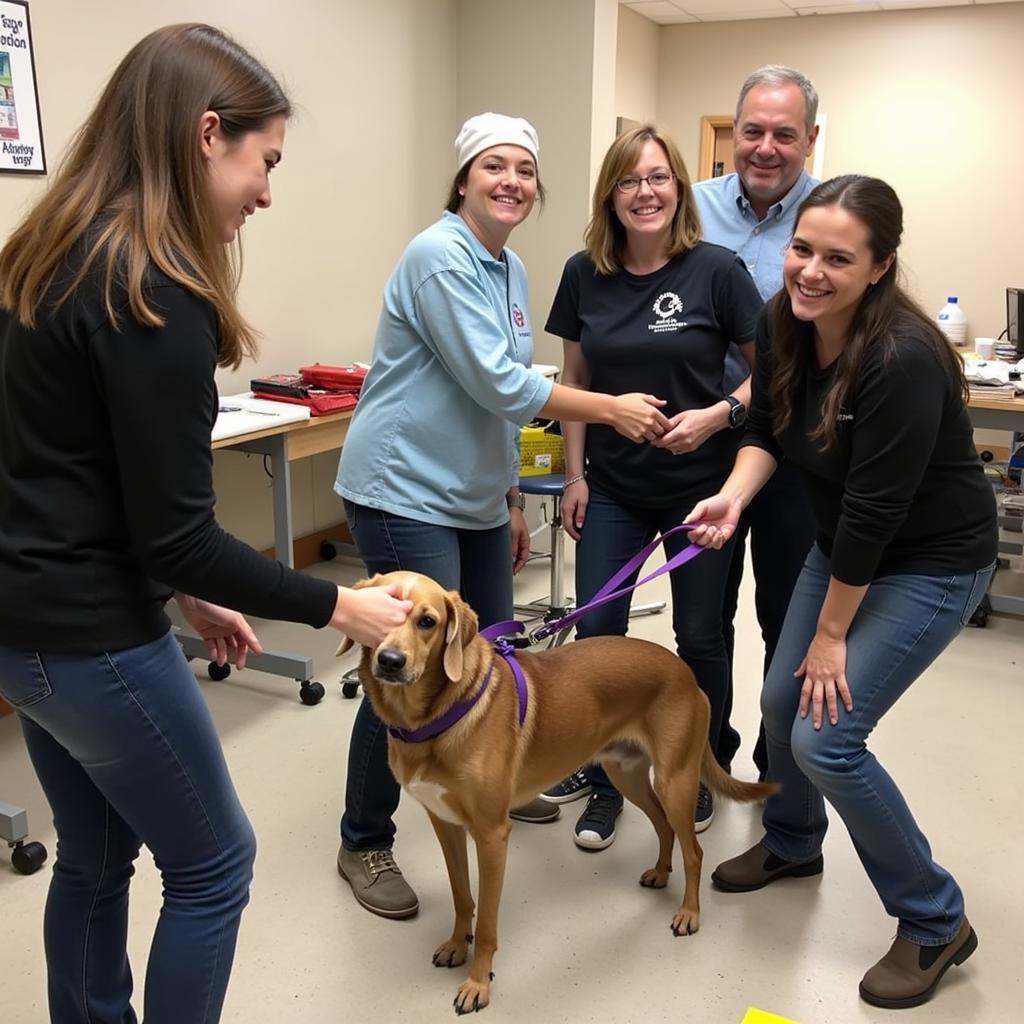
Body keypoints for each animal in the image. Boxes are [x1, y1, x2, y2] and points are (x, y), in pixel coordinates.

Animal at [337, 573, 774, 1011]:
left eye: (427, 622)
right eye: (377, 616)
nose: (390, 661)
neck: (434, 719)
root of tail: (685, 672)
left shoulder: (492, 836)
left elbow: (489, 921)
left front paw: (478, 982)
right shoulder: (447, 825)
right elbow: (463, 896)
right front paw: (457, 945)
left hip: (675, 781)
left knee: (695, 851)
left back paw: (689, 912)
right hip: (626, 774)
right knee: (664, 826)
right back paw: (661, 873)